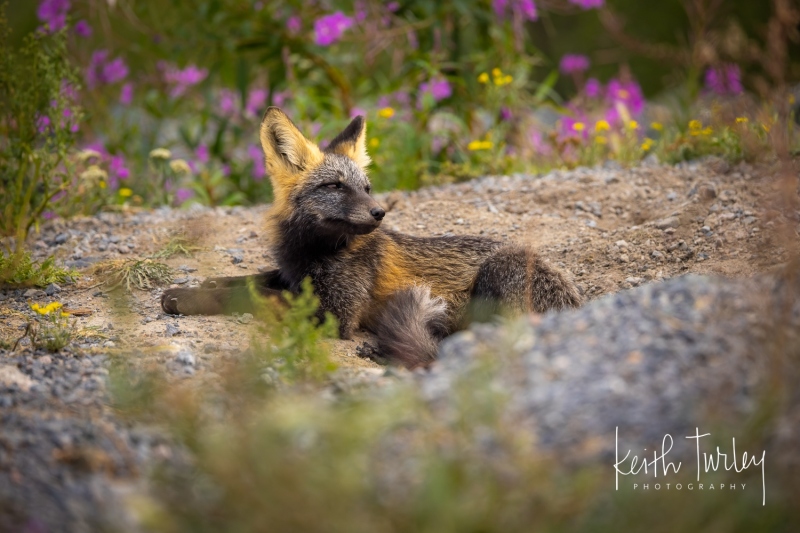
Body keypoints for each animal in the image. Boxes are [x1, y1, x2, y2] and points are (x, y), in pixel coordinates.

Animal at [161, 107, 581, 368]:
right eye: (334, 186)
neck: (314, 253)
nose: (380, 212)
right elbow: (253, 279)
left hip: (497, 271)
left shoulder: (335, 313)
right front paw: (211, 281)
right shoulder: (296, 274)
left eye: (366, 188)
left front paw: (187, 296)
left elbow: (251, 295)